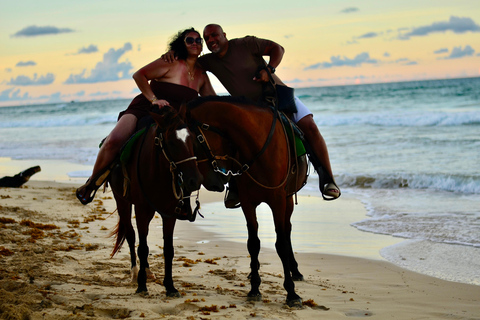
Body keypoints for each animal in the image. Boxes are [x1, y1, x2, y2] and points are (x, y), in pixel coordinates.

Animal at [108, 108, 202, 298]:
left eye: (192, 139)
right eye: (172, 142)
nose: (194, 181)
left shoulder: (169, 213)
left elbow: (168, 249)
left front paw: (170, 286)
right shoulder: (141, 209)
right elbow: (142, 247)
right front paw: (141, 285)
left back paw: (147, 271)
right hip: (122, 202)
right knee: (131, 235)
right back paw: (135, 272)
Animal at [188, 96, 308, 306]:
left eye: (194, 142)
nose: (210, 182)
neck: (256, 146)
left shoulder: (278, 200)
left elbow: (282, 243)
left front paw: (291, 293)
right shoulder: (247, 202)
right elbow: (253, 243)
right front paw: (254, 288)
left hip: (287, 200)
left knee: (287, 230)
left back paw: (295, 270)